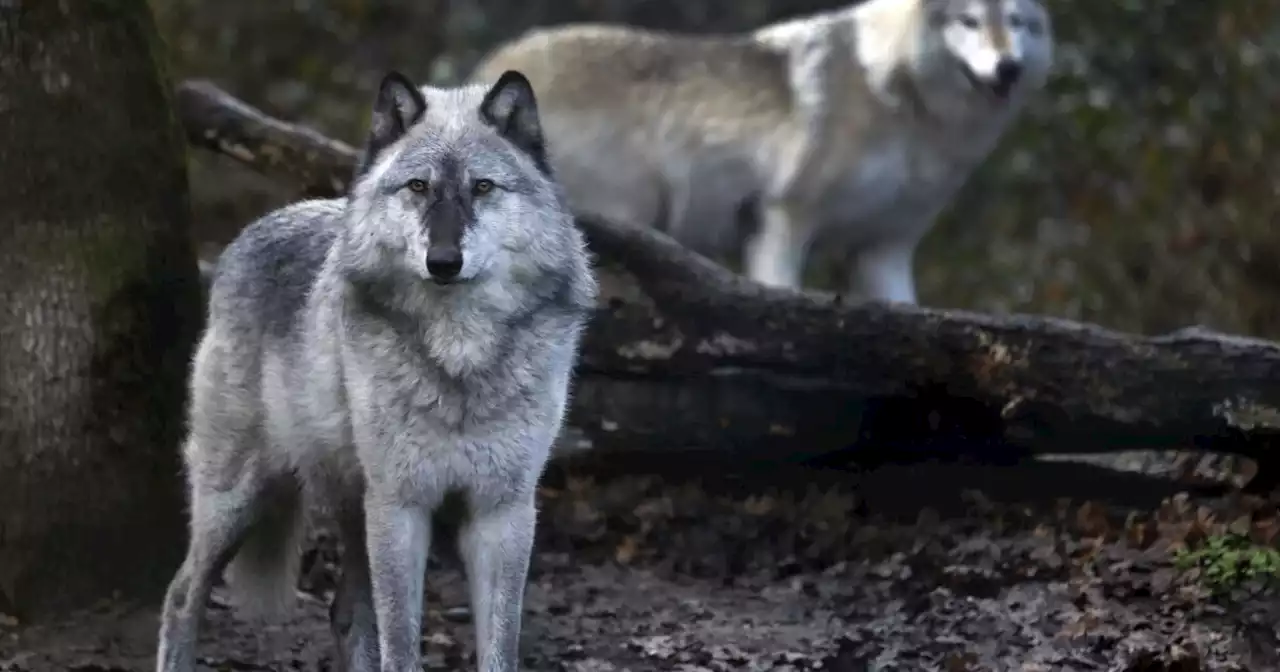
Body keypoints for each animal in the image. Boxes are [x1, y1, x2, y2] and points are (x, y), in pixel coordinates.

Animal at [153, 68, 599, 670]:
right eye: (418, 187)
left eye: (483, 187)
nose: (443, 262)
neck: (459, 357)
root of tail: (246, 235)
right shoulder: (400, 506)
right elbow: (402, 642)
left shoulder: (503, 512)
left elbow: (499, 647)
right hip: (240, 498)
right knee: (181, 595)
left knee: (345, 612)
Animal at [471, 0, 1049, 300]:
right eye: (969, 21)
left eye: (1018, 22)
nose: (1009, 68)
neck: (900, 98)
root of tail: (494, 65)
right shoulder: (783, 219)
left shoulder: (886, 249)